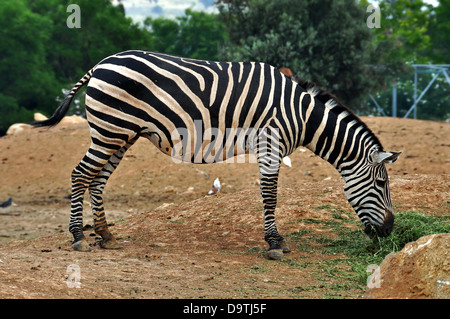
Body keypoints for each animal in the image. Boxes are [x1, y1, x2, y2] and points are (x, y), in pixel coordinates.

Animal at [33, 50, 402, 260]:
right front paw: (274, 243)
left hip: (121, 134)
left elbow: (269, 195)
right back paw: (79, 236)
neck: (302, 115)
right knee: (80, 174)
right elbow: (271, 195)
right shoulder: (271, 143)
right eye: (382, 184)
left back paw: (106, 235)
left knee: (97, 180)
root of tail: (100, 64)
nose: (389, 230)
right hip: (111, 128)